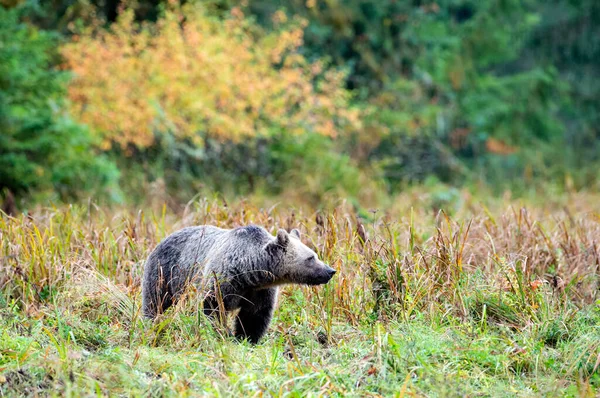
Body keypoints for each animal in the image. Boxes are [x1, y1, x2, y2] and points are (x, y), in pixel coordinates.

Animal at [142, 225, 338, 344]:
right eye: (311, 257)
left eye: (315, 254)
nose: (330, 271)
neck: (249, 271)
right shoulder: (220, 281)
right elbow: (212, 308)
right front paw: (223, 333)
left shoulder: (259, 291)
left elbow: (255, 316)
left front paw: (246, 338)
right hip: (165, 273)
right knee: (155, 301)